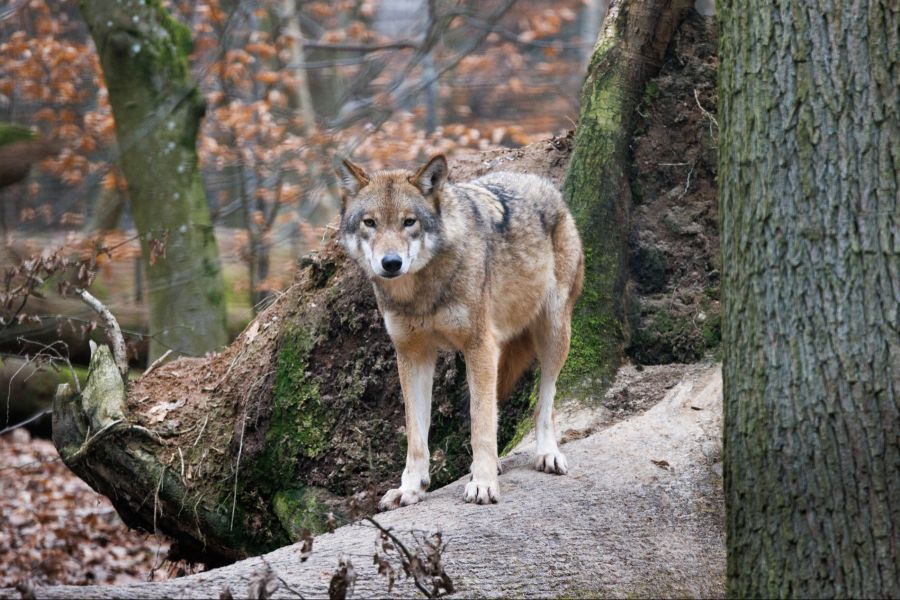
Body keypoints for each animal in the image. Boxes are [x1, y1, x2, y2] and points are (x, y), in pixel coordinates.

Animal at [337, 154, 584, 508]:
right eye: (370, 223)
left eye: (409, 222)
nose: (391, 263)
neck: (421, 293)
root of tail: (544, 184)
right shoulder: (412, 354)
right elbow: (416, 434)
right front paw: (410, 488)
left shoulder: (479, 345)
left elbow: (480, 424)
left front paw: (483, 484)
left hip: (552, 331)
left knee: (544, 402)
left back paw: (546, 453)